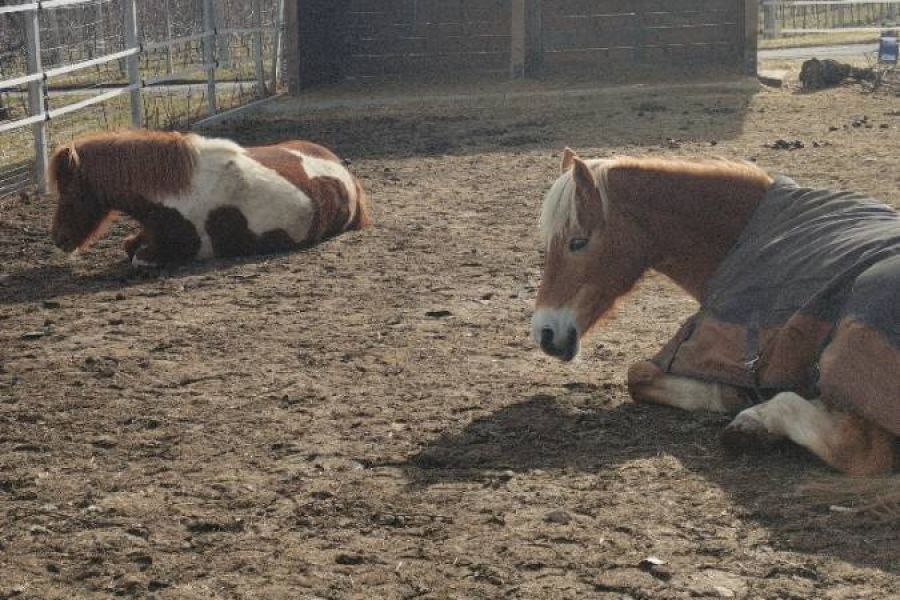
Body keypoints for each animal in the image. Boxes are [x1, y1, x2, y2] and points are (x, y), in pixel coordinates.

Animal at [44, 130, 370, 266]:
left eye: (70, 192)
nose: (59, 238)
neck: (175, 192)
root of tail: (343, 170)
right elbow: (129, 246)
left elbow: (137, 257)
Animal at [532, 149, 896, 478]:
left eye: (577, 242)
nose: (544, 333)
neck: (745, 234)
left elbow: (638, 374)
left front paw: (734, 395)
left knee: (857, 448)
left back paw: (754, 421)